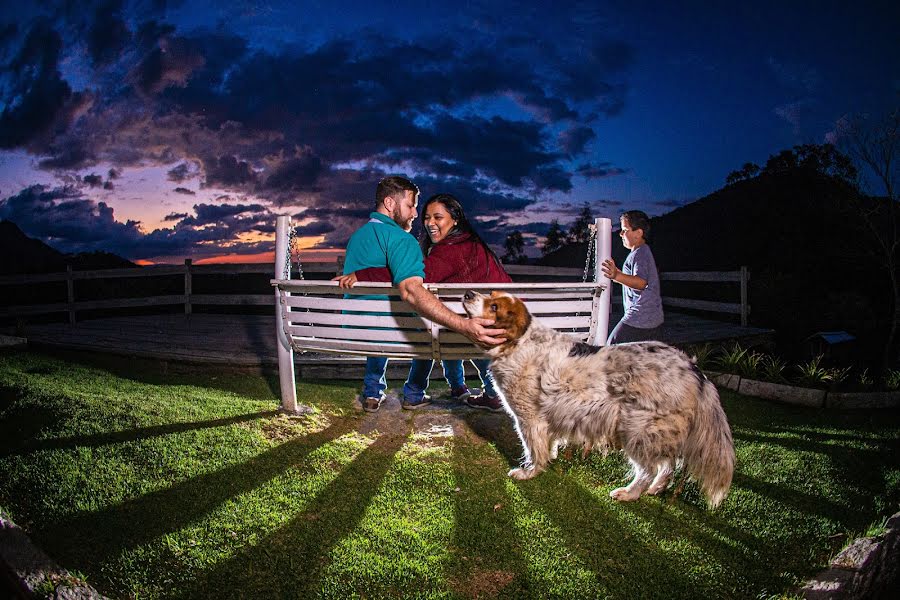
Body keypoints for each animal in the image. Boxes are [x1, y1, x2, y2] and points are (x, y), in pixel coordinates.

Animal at [464, 290, 732, 506]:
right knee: (667, 465)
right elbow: (547, 444)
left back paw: (630, 493)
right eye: (490, 295)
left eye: (494, 307)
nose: (467, 293)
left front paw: (530, 472)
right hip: (659, 434)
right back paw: (656, 489)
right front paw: (550, 458)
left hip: (637, 431)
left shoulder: (529, 419)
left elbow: (533, 449)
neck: (520, 341)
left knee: (648, 469)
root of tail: (695, 370)